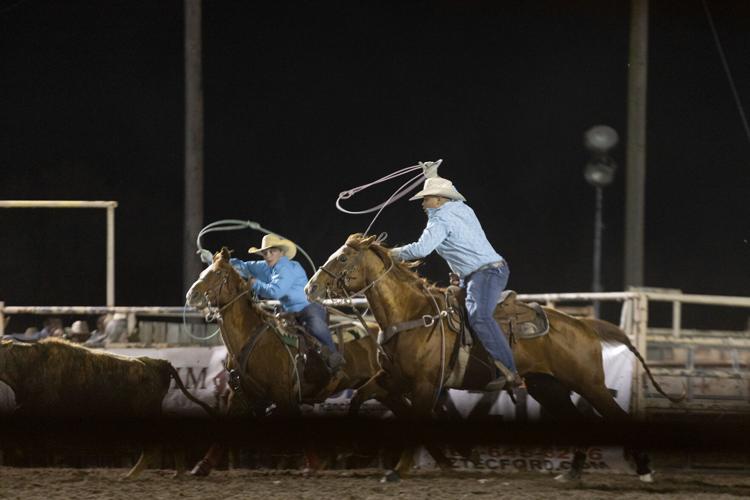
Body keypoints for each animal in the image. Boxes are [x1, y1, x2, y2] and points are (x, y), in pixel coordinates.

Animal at [183, 248, 382, 474]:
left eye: (217, 273)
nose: (191, 295)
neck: (252, 338)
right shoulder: (240, 397)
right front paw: (202, 466)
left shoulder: (284, 395)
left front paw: (316, 464)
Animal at [306, 236, 680, 482]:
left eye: (343, 259)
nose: (310, 288)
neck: (413, 314)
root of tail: (584, 326)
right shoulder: (392, 379)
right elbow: (359, 399)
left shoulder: (426, 384)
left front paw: (398, 470)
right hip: (549, 387)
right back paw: (572, 473)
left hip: (589, 384)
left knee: (614, 414)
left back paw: (644, 469)